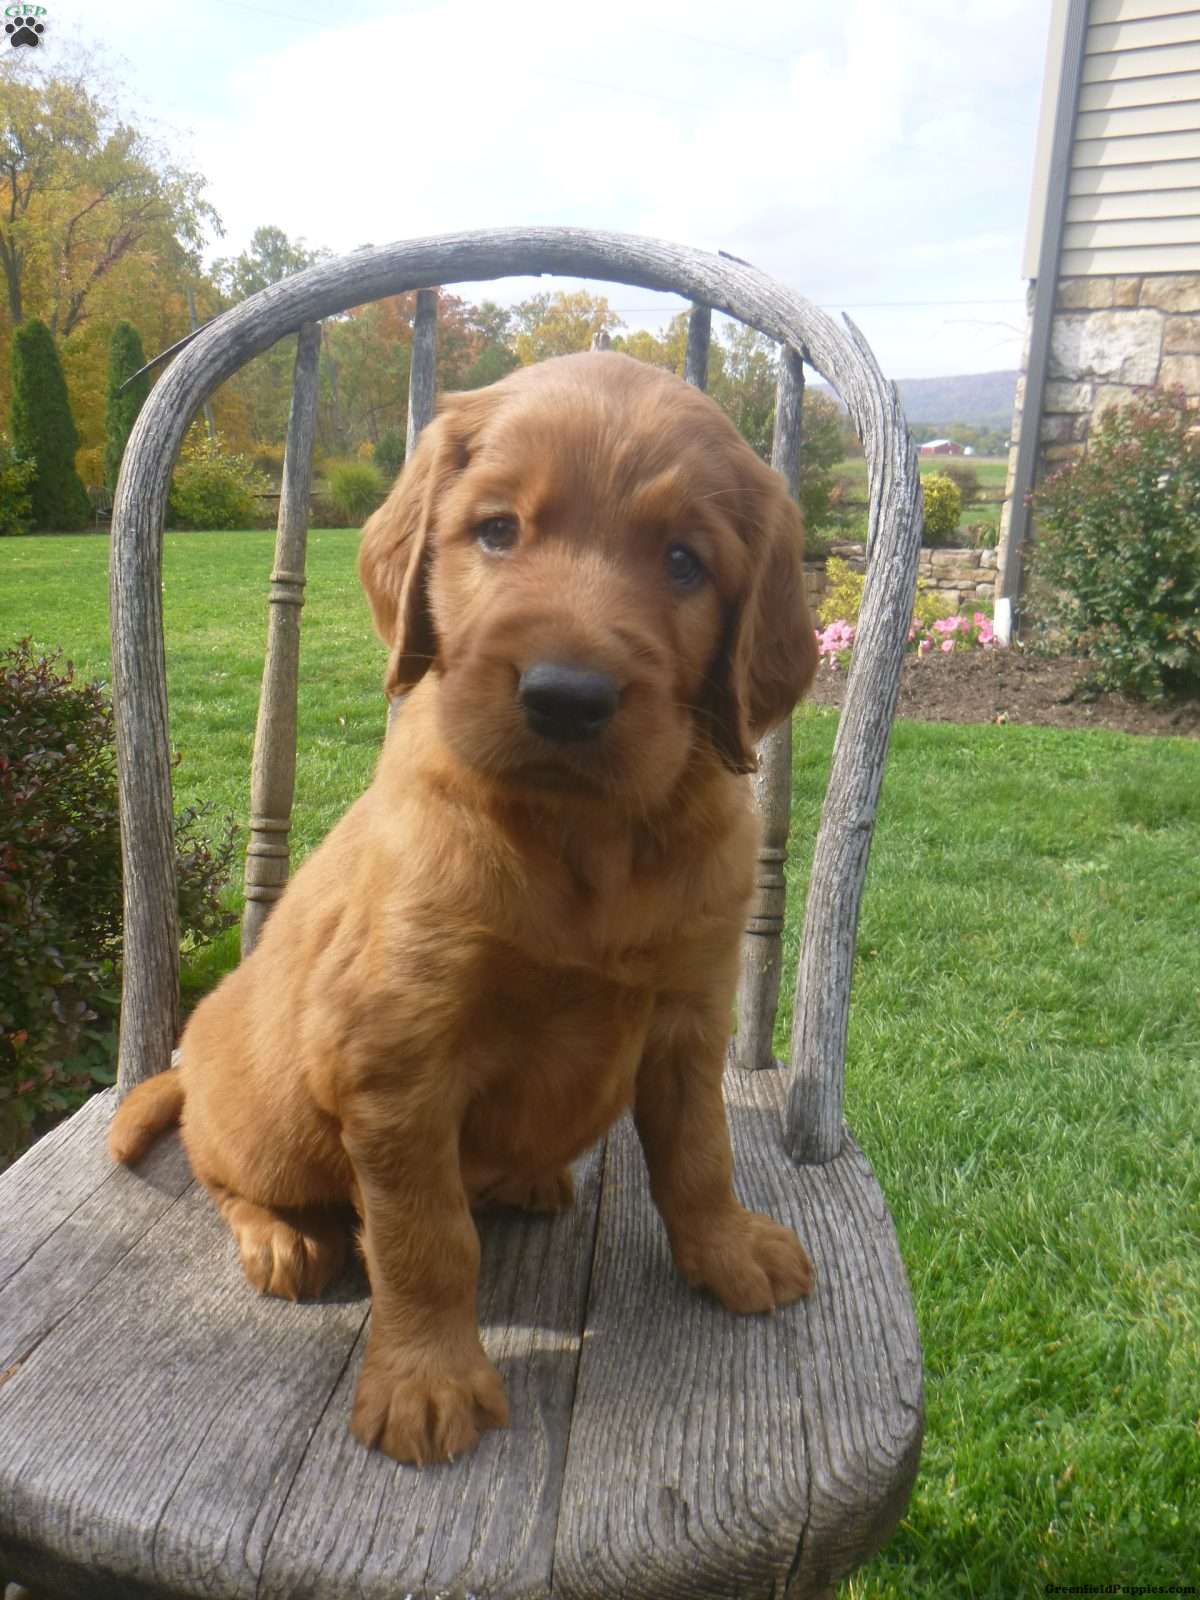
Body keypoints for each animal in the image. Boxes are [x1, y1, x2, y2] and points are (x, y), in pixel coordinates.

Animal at [112, 350, 825, 1465]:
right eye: (496, 530)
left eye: (683, 561)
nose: (566, 695)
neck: (582, 837)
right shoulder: (396, 1054)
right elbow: (424, 1237)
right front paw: (426, 1379)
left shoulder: (687, 1016)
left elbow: (700, 1151)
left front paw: (727, 1249)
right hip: (265, 1116)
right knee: (223, 1163)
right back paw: (282, 1234)